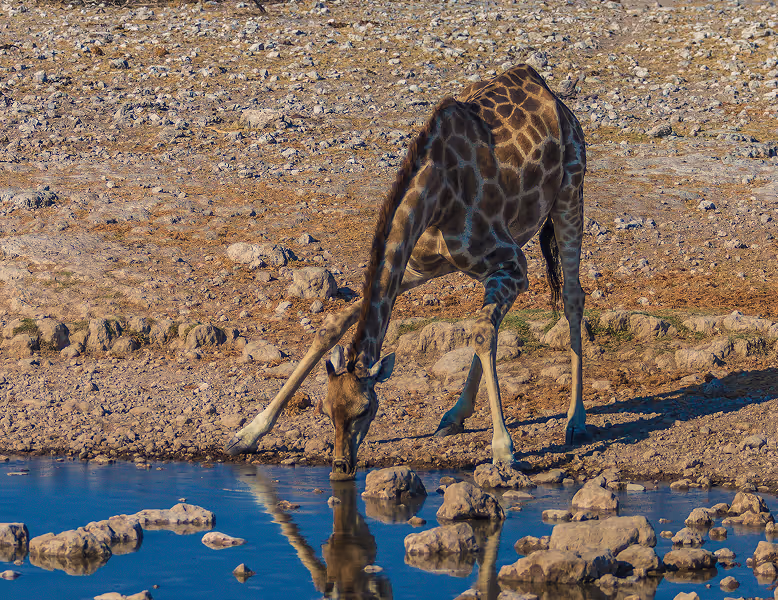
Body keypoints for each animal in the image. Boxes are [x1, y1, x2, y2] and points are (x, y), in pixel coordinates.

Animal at [226, 64, 587, 480]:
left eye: (365, 410)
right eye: (326, 409)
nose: (341, 467)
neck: (438, 195)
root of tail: (553, 95)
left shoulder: (512, 263)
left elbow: (482, 333)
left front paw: (503, 452)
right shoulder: (415, 267)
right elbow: (332, 325)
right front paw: (248, 433)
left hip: (570, 193)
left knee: (571, 297)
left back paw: (575, 421)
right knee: (494, 323)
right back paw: (454, 417)